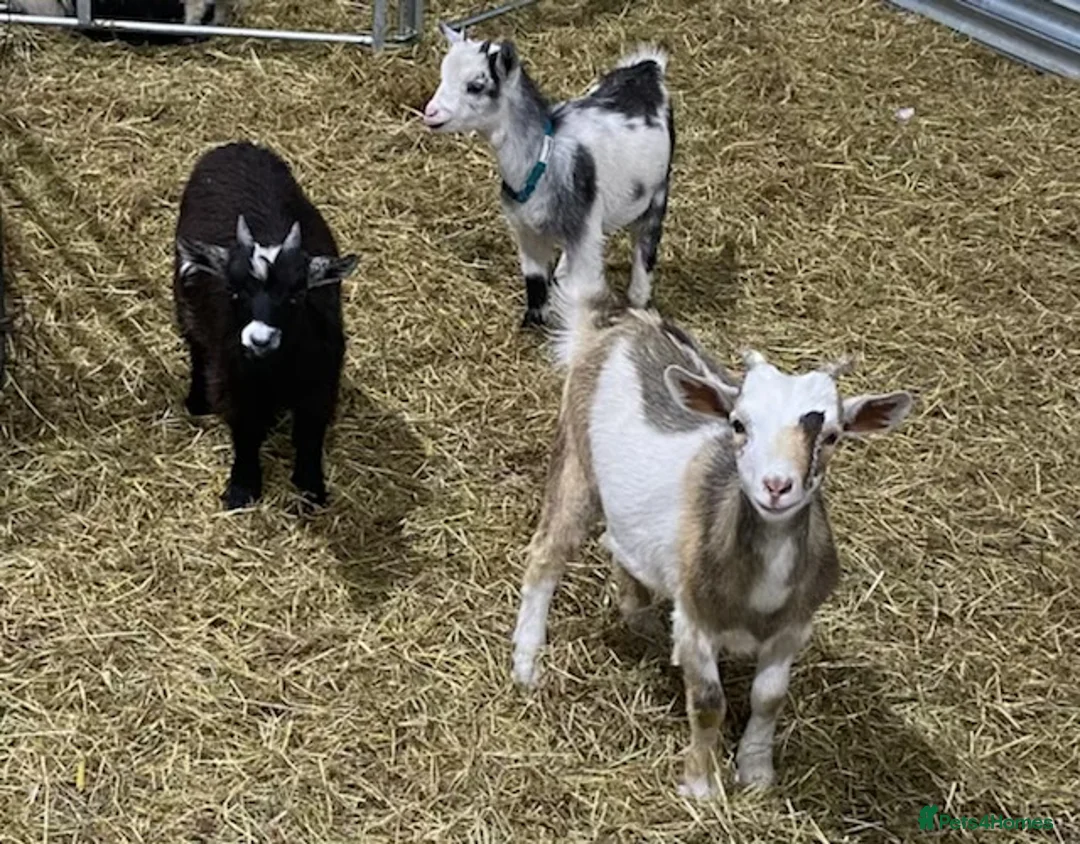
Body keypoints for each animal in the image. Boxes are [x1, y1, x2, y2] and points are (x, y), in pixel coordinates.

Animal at [173, 141, 359, 510]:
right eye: (233, 291)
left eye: (297, 295)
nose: (260, 339)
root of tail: (236, 146)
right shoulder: (235, 384)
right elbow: (245, 433)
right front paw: (242, 489)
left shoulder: (320, 385)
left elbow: (310, 434)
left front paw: (311, 489)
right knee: (197, 348)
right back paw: (197, 401)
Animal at [423, 24, 674, 329]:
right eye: (442, 75)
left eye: (476, 86)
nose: (431, 113)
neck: (545, 156)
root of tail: (647, 70)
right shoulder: (525, 230)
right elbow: (534, 281)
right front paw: (532, 323)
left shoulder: (582, 233)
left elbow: (584, 290)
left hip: (658, 190)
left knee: (645, 248)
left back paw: (638, 298)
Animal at [510, 287, 914, 796]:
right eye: (739, 424)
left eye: (832, 435)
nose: (776, 486)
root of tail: (620, 325)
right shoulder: (697, 621)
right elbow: (707, 701)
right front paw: (701, 787)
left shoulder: (794, 625)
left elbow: (769, 697)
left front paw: (757, 774)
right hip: (575, 462)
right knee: (546, 555)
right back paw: (527, 663)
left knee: (619, 547)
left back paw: (641, 620)